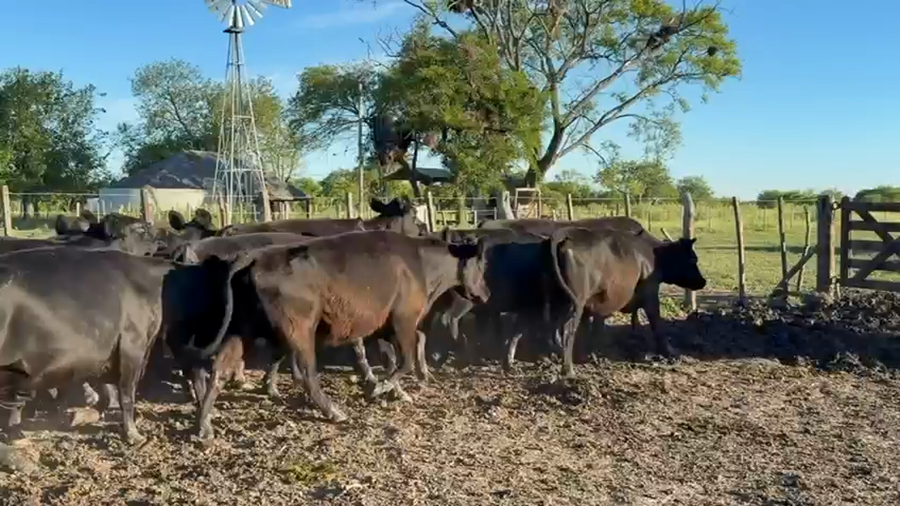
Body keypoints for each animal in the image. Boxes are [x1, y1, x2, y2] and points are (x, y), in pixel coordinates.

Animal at [0, 247, 178, 443]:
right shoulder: (132, 345)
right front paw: (133, 435)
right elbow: (126, 394)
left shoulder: (101, 352)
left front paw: (81, 415)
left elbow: (106, 389)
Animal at [186, 230, 490, 440]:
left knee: (219, 369)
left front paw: (394, 391)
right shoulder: (403, 321)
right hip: (299, 331)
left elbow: (394, 360)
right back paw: (333, 411)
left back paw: (204, 426)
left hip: (241, 331)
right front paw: (380, 388)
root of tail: (255, 257)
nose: (486, 294)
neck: (419, 264)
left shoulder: (385, 328)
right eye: (482, 265)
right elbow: (405, 361)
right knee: (307, 373)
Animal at [547, 226, 706, 378]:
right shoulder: (650, 294)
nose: (703, 281)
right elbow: (656, 323)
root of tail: (566, 235)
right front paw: (669, 352)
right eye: (694, 259)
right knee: (567, 331)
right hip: (575, 303)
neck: (654, 255)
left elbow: (594, 329)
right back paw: (568, 370)